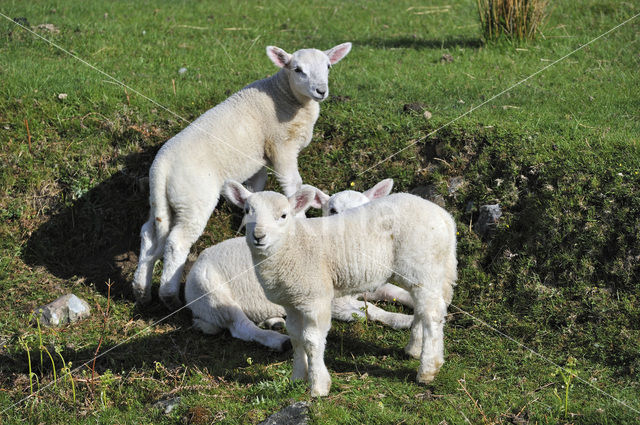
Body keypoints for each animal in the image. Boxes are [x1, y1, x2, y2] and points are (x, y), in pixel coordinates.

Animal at [130, 42, 350, 308]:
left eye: (328, 66)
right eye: (297, 69)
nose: (321, 91)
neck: (286, 95)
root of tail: (161, 167)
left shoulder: (259, 159)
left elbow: (256, 187)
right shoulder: (281, 147)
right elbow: (292, 184)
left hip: (163, 201)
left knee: (149, 234)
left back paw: (141, 290)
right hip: (193, 199)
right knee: (176, 242)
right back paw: (169, 296)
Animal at [185, 178, 416, 352]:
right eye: (332, 210)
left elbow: (394, 292)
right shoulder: (331, 299)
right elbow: (373, 311)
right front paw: (405, 320)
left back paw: (275, 321)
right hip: (213, 293)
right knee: (241, 326)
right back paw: (277, 340)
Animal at [222, 178, 458, 394]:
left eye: (283, 215)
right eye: (247, 211)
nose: (259, 236)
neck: (293, 245)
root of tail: (444, 218)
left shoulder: (316, 297)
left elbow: (312, 340)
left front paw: (318, 386)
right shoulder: (292, 300)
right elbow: (296, 338)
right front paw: (297, 377)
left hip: (422, 264)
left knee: (432, 313)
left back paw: (427, 369)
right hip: (426, 270)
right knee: (425, 307)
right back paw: (414, 349)